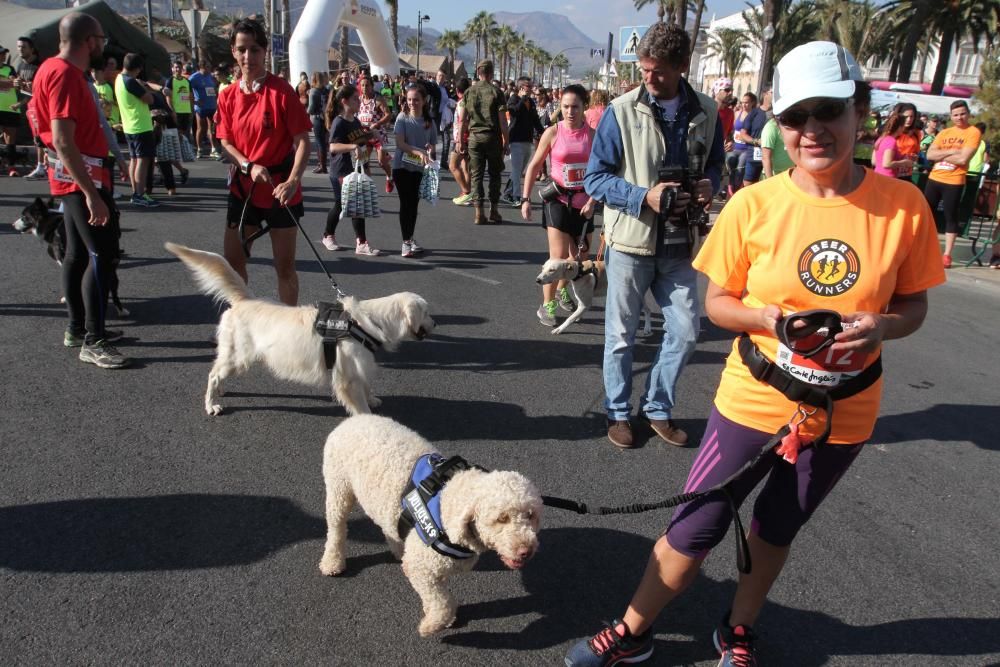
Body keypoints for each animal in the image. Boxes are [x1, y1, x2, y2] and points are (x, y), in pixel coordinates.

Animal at [164, 243, 434, 414]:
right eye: (427, 312)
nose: (436, 323)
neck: (365, 322)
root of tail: (244, 300)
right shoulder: (347, 378)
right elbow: (360, 406)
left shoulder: (361, 366)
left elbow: (367, 385)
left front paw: (373, 398)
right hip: (238, 356)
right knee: (213, 374)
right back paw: (211, 405)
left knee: (217, 371)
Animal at [318, 418, 540, 636]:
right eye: (501, 519)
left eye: (531, 515)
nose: (526, 551)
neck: (448, 502)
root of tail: (355, 418)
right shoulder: (421, 567)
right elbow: (443, 602)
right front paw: (432, 624)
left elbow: (438, 596)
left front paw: (433, 614)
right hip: (338, 486)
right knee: (336, 527)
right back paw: (333, 561)